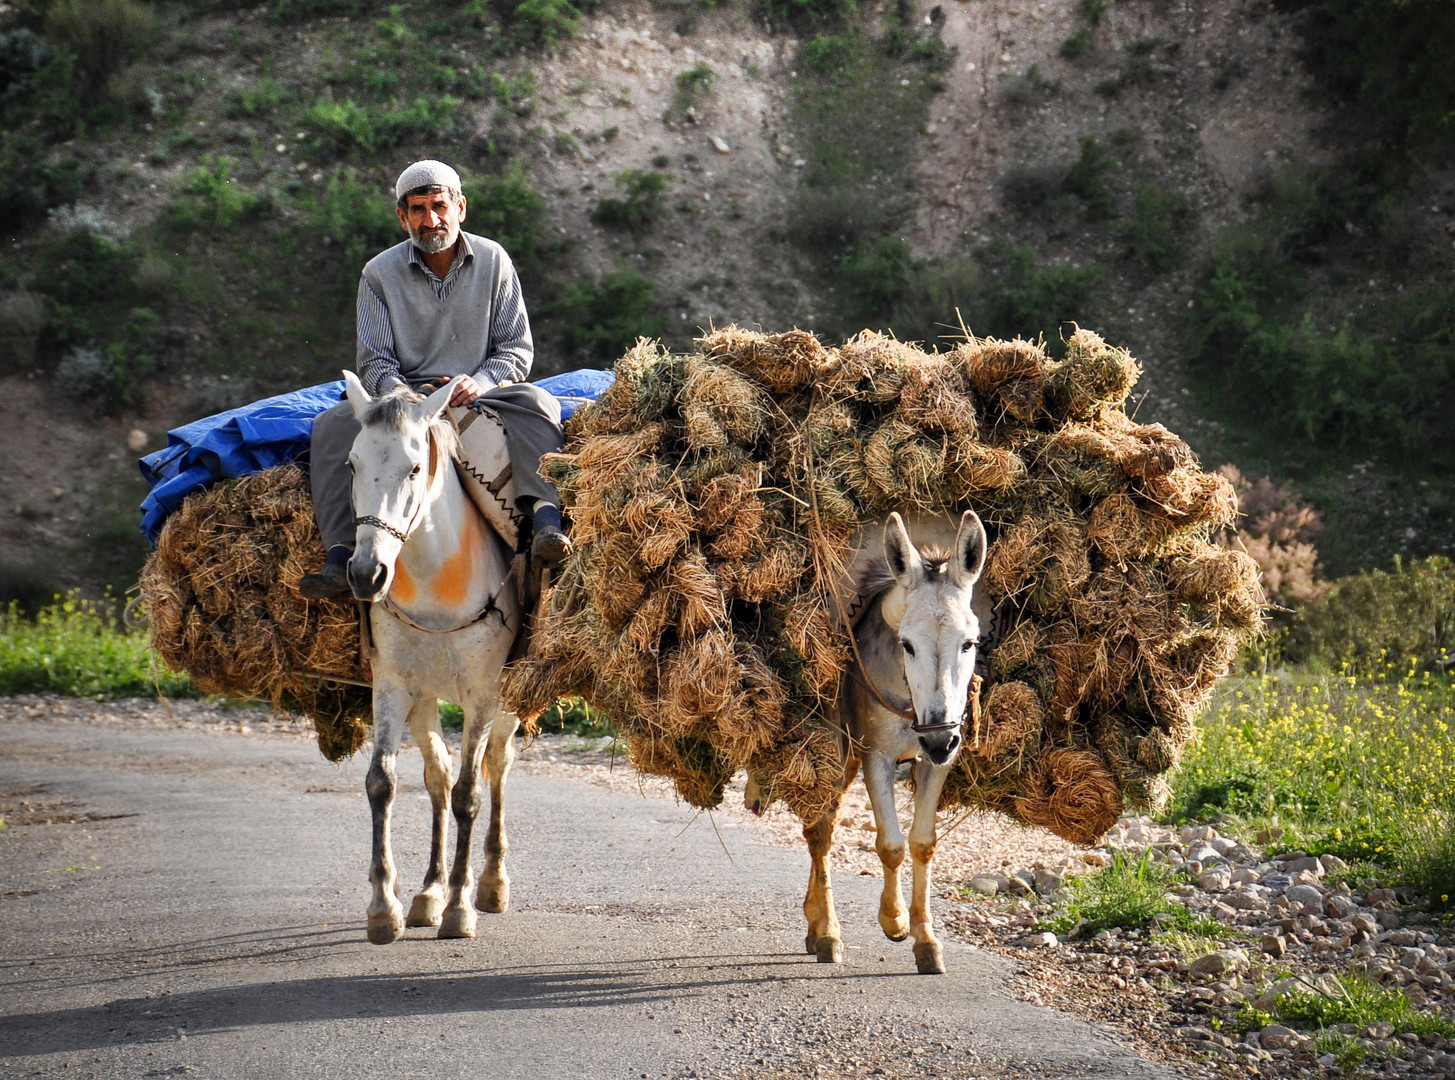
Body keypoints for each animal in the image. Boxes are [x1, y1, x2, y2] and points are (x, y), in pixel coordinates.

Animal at [340, 372, 523, 949]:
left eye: (415, 468)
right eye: (352, 464)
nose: (367, 574)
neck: (434, 584)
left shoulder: (483, 695)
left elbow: (469, 794)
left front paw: (460, 908)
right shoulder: (393, 686)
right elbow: (382, 782)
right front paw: (385, 907)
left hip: (509, 700)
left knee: (495, 766)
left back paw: (490, 883)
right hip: (423, 701)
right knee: (437, 775)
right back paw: (428, 893)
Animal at [797, 512, 989, 978]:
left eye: (969, 642)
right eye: (907, 644)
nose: (937, 737)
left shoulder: (939, 761)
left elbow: (922, 843)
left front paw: (926, 940)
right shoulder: (876, 756)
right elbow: (891, 846)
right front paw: (895, 921)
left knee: (824, 826)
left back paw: (815, 924)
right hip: (835, 751)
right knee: (820, 831)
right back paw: (827, 933)